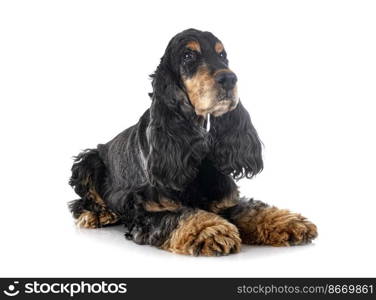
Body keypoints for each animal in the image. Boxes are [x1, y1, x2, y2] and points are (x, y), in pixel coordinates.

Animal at [68, 28, 318, 255]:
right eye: (188, 56)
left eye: (222, 54)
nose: (229, 78)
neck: (192, 141)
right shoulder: (144, 210)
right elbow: (180, 214)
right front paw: (210, 230)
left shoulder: (225, 200)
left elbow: (251, 209)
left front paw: (289, 222)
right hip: (88, 160)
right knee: (81, 202)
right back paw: (98, 214)